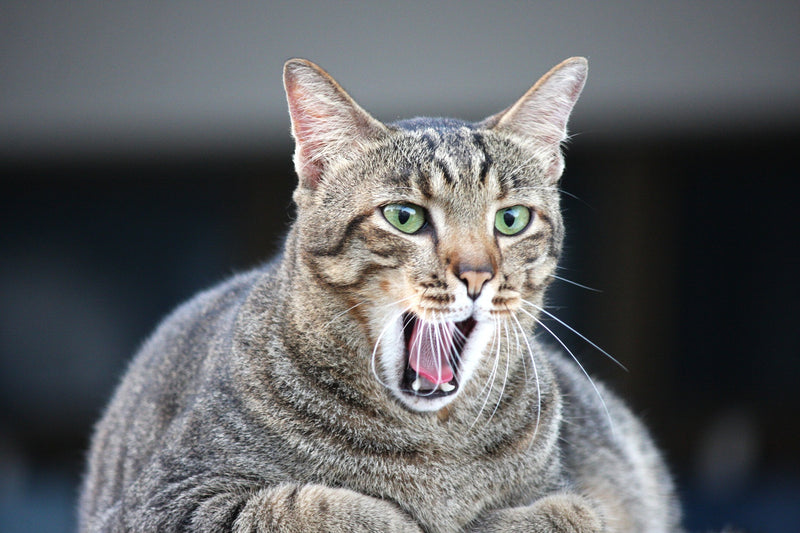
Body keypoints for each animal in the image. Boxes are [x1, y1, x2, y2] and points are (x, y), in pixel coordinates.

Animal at [79, 56, 680, 528]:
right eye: (404, 216)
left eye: (511, 220)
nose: (478, 275)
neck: (435, 447)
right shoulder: (167, 501)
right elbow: (311, 508)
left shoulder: (578, 496)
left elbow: (570, 511)